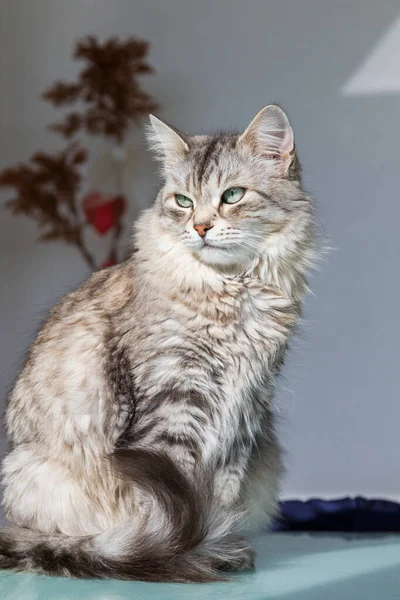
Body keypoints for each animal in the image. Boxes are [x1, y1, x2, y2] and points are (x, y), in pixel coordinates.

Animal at [1, 104, 318, 580]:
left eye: (232, 195)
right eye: (183, 201)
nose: (201, 227)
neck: (233, 292)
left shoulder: (246, 407)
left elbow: (221, 493)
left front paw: (219, 544)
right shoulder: (173, 400)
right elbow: (173, 499)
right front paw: (181, 552)